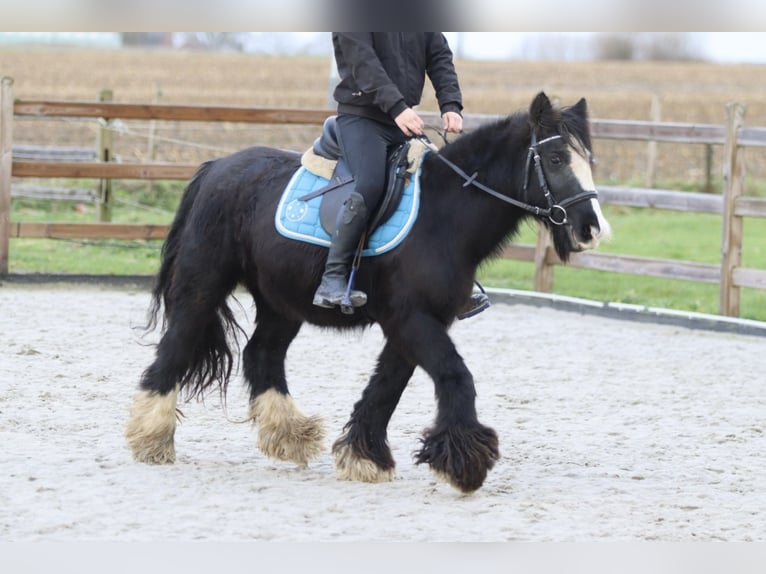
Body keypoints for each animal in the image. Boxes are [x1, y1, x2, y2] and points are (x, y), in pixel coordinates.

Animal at [126, 92, 612, 492]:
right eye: (554, 158)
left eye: (589, 159)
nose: (591, 229)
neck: (443, 214)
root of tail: (215, 169)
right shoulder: (411, 319)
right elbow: (455, 376)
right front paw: (465, 463)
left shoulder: (416, 322)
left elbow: (387, 386)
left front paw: (364, 456)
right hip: (203, 285)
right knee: (176, 346)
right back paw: (151, 438)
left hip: (281, 302)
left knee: (262, 354)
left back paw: (290, 435)